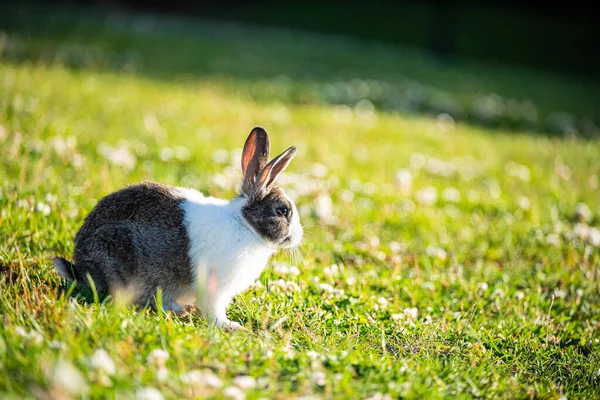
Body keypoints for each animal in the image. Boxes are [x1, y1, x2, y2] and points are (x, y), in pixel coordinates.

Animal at [52, 126, 302, 330]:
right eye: (282, 211)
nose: (298, 236)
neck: (245, 224)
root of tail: (81, 269)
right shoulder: (215, 288)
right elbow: (215, 311)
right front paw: (230, 326)